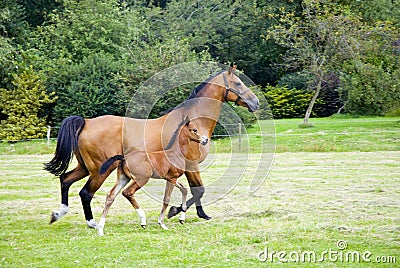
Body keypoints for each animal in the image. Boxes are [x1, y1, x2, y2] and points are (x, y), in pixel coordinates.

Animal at [44, 65, 260, 228]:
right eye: (238, 83)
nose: (256, 102)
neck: (193, 122)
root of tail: (86, 122)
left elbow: (194, 190)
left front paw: (195, 213)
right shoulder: (191, 166)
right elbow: (198, 190)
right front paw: (177, 212)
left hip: (85, 167)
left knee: (65, 180)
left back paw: (59, 213)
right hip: (100, 170)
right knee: (86, 193)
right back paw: (93, 223)